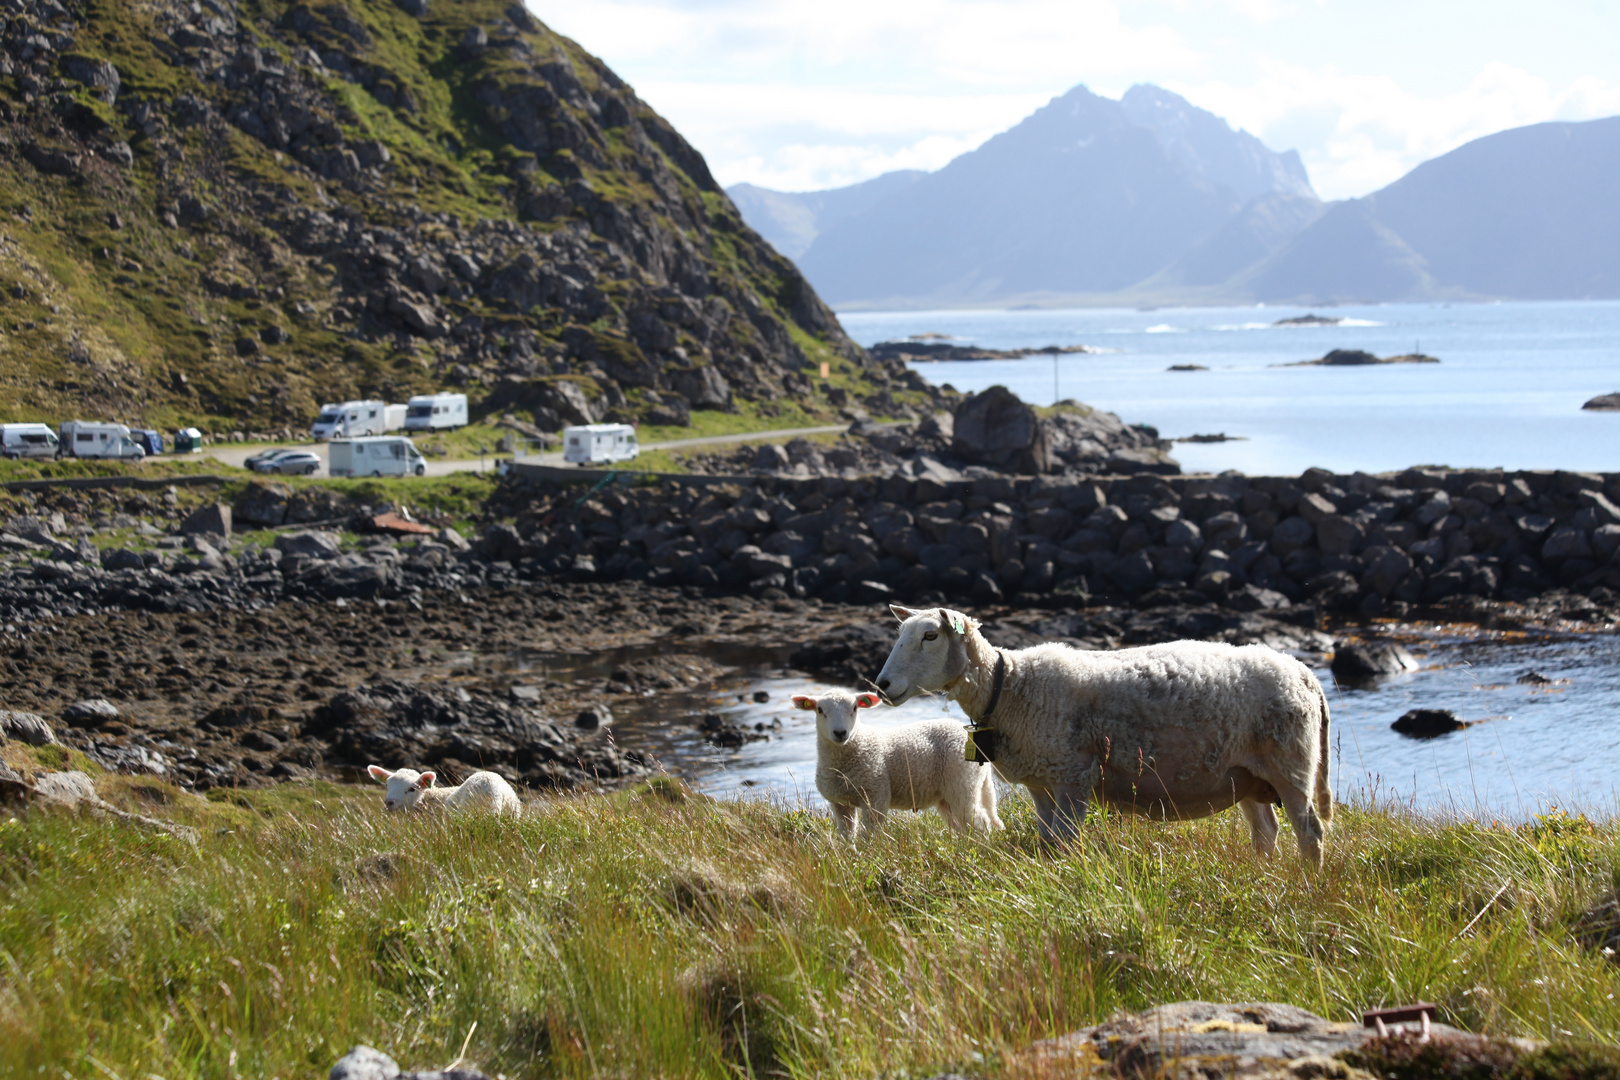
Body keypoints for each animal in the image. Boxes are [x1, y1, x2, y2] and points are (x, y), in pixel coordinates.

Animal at [793, 689, 1004, 841]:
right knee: (962, 825)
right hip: (949, 793)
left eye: (854, 708)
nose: (840, 732)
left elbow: (870, 834)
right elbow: (846, 837)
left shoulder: (876, 795)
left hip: (961, 783)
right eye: (820, 710)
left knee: (979, 821)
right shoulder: (840, 804)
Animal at [874, 605, 1328, 867]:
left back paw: (1305, 884)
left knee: (1310, 832)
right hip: (1248, 775)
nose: (882, 685)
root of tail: (1302, 671)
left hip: (1290, 763)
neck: (1010, 686)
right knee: (1265, 831)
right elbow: (1048, 841)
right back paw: (1261, 877)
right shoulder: (1042, 782)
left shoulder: (1073, 775)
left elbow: (1067, 841)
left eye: (930, 635)